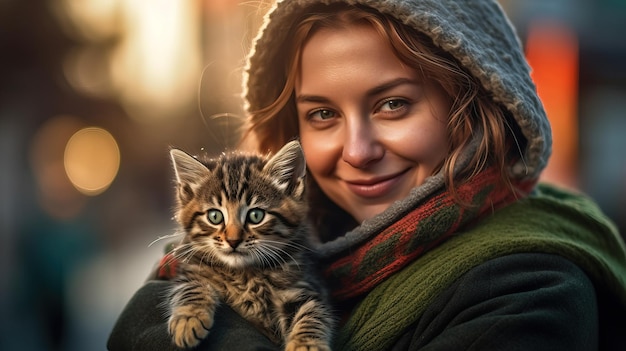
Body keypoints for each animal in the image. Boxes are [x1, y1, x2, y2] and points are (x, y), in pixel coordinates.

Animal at [166, 142, 332, 350]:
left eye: (256, 215)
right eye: (215, 216)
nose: (233, 240)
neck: (245, 274)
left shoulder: (304, 286)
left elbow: (312, 313)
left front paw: (306, 345)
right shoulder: (194, 268)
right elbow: (191, 286)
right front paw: (188, 318)